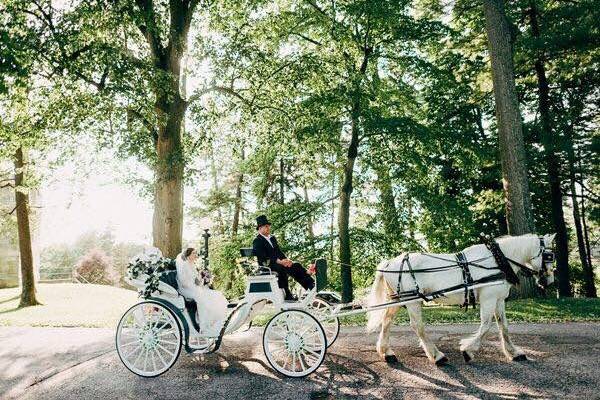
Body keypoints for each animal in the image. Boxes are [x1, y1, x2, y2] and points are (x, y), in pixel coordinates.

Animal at [366, 234, 556, 366]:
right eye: (549, 256)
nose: (549, 281)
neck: (497, 260)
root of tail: (389, 263)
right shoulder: (488, 298)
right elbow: (486, 326)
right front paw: (468, 350)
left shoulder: (498, 299)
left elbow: (504, 327)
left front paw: (514, 353)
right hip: (412, 300)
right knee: (417, 326)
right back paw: (437, 356)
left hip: (398, 299)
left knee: (387, 321)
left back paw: (386, 352)